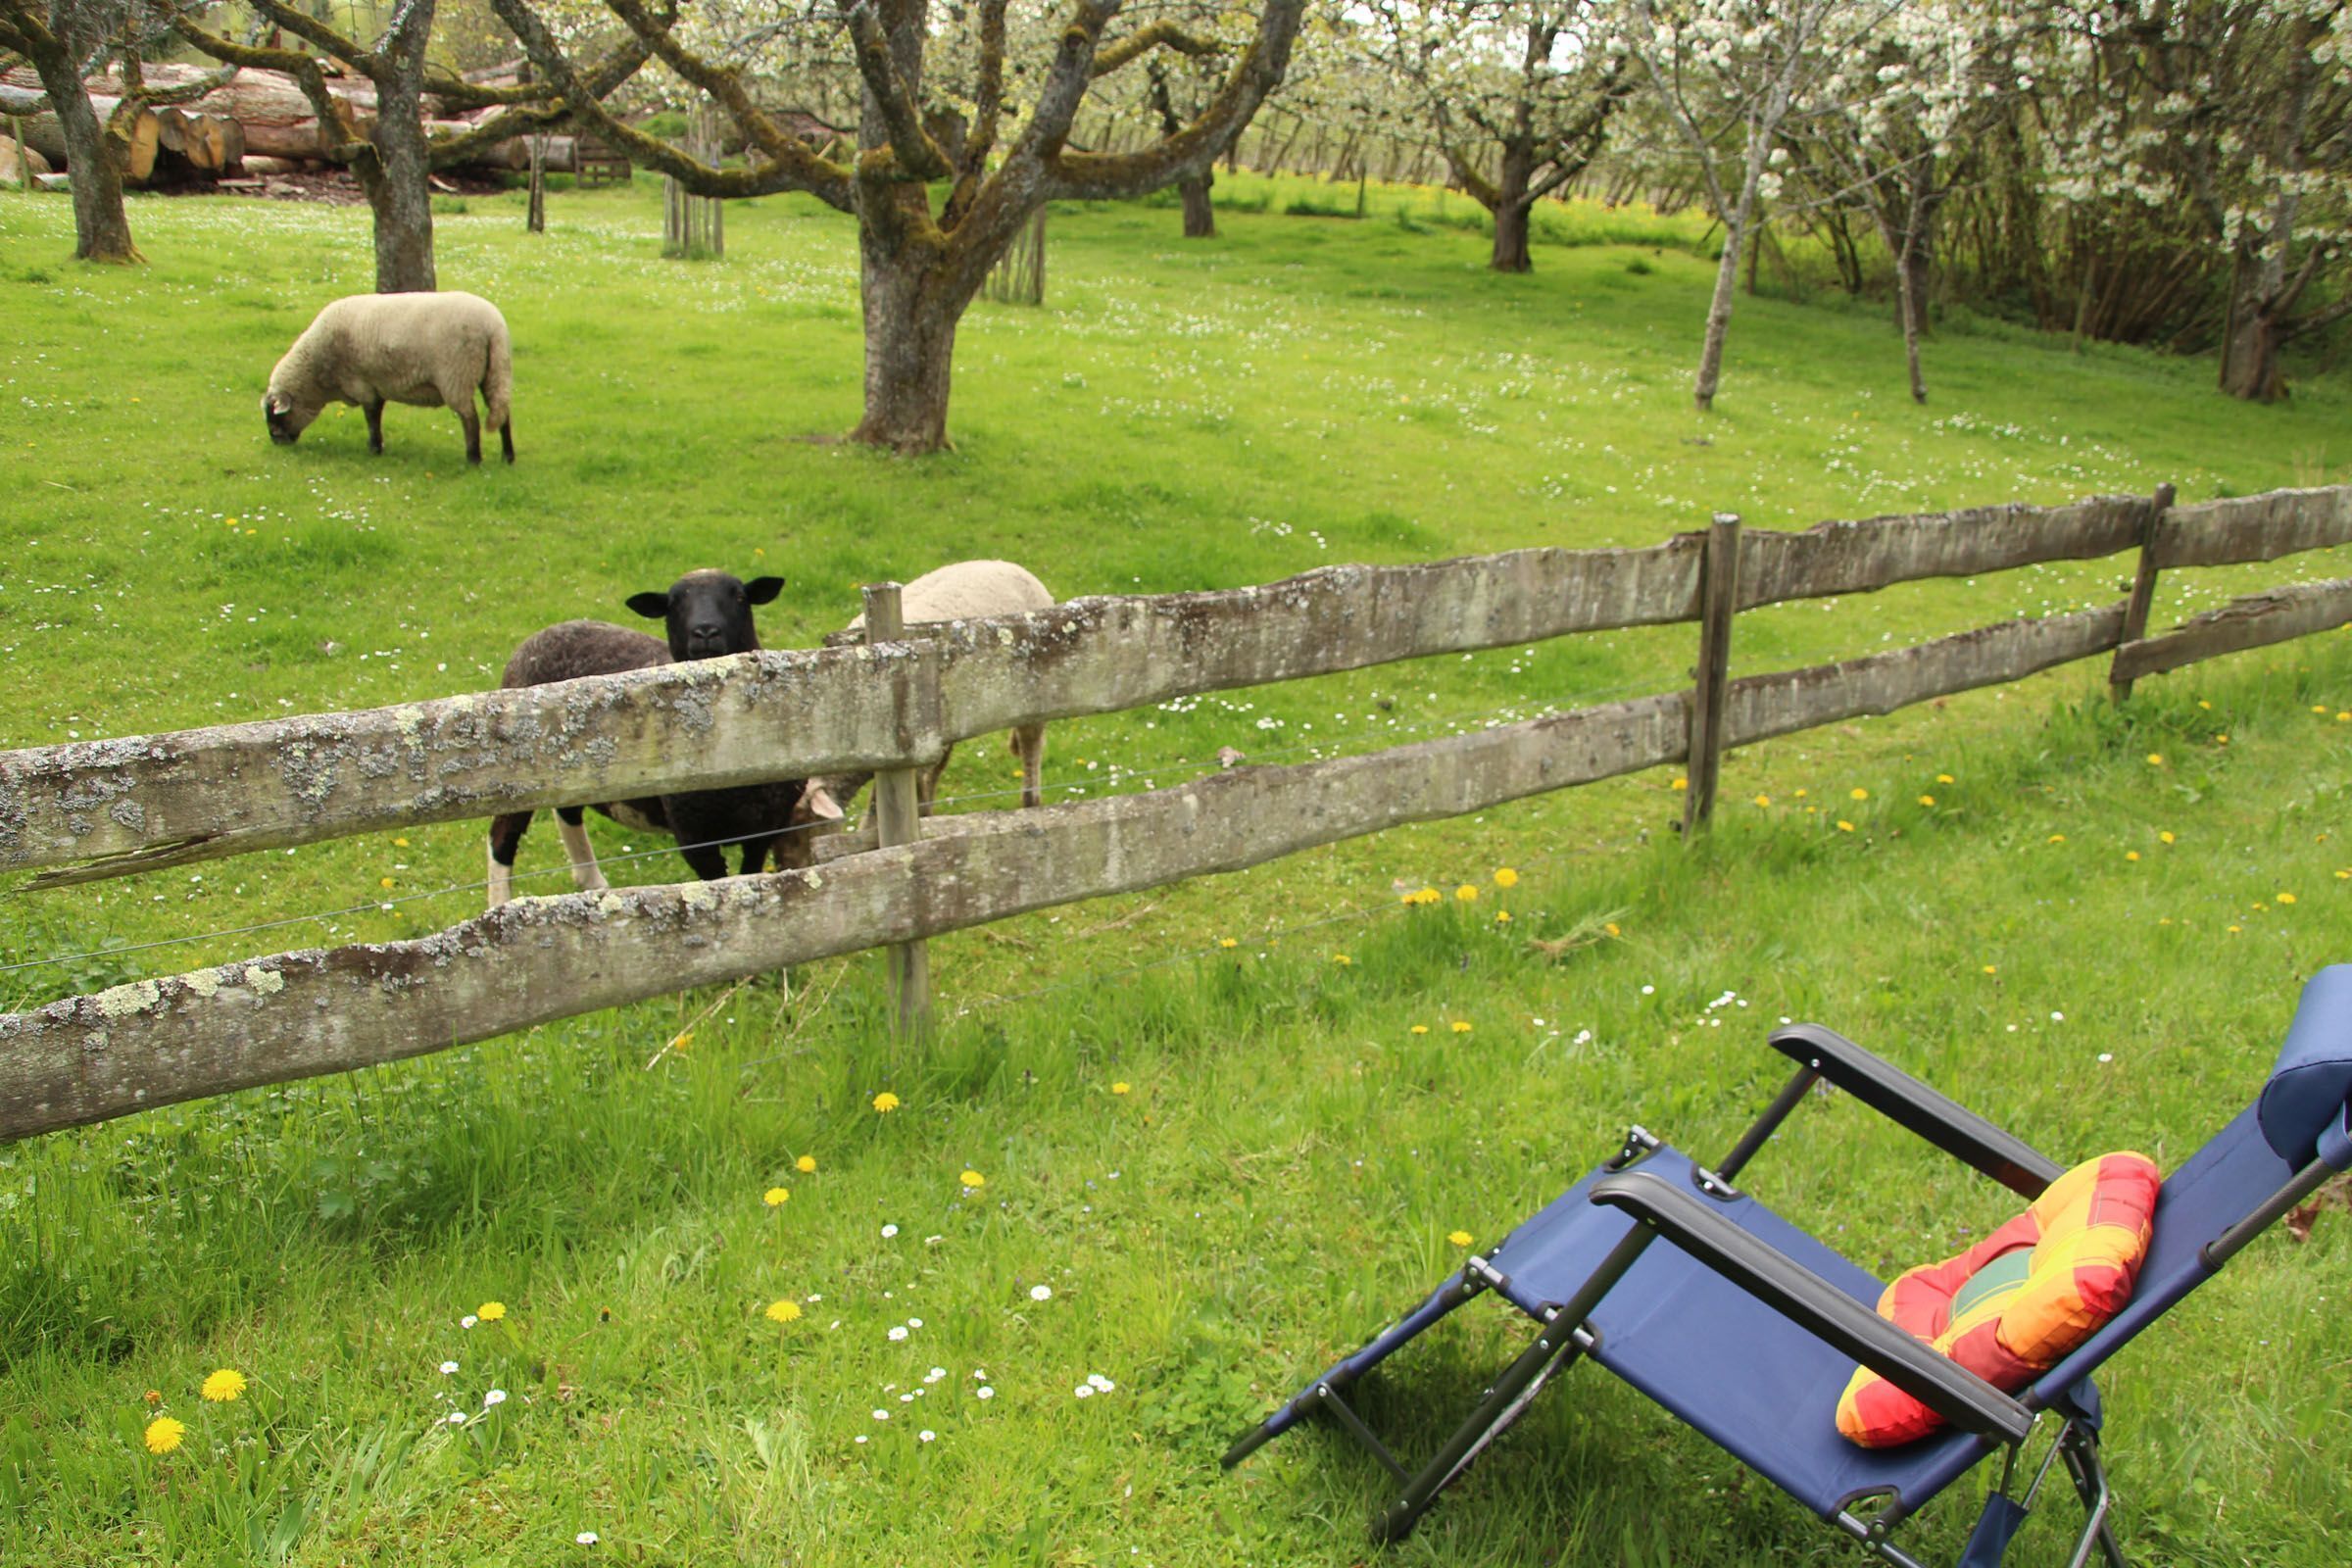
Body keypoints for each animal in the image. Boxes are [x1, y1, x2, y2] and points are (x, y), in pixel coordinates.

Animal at [264, 291, 515, 466]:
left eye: (275, 417)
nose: (277, 443)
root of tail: (493, 327)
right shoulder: (376, 386)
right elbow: (376, 414)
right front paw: (377, 448)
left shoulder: (362, 385)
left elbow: (371, 418)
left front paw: (374, 450)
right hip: (496, 370)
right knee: (502, 413)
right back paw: (507, 457)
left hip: (457, 376)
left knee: (470, 420)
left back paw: (473, 460)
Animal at [484, 569, 841, 908]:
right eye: (673, 604)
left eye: (740, 596)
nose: (705, 632)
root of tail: (540, 635)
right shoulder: (694, 838)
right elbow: (717, 889)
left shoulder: (766, 828)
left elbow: (749, 876)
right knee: (502, 837)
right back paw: (499, 906)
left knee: (567, 813)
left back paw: (592, 882)